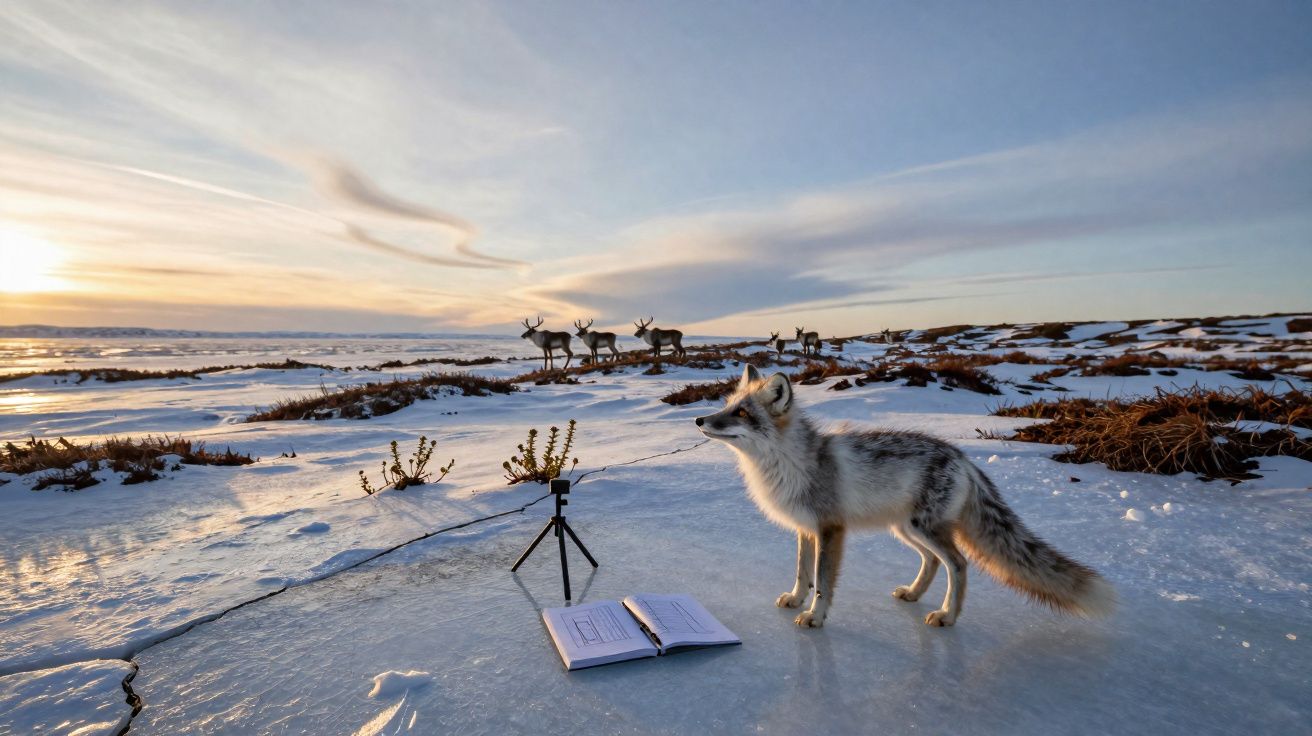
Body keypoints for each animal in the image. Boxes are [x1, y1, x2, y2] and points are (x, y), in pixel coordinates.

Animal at [695, 364, 1115, 628]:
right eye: (727, 405)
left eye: (742, 413)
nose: (699, 420)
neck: (788, 465)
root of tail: (963, 457)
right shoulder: (804, 528)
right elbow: (802, 573)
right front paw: (797, 599)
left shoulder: (830, 529)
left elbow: (823, 581)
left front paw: (815, 616)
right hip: (907, 529)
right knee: (931, 562)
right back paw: (914, 594)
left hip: (923, 528)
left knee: (958, 564)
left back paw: (947, 616)